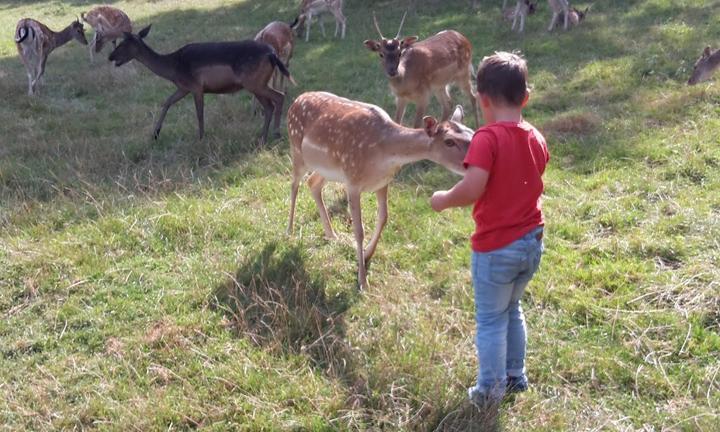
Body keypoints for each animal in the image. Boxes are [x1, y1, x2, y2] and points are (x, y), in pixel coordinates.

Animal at [108, 26, 294, 145]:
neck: (173, 69)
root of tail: (272, 54)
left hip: (254, 83)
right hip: (257, 83)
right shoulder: (184, 87)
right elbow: (167, 102)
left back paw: (274, 134)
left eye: (122, 44)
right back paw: (265, 136)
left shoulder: (196, 86)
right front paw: (155, 133)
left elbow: (199, 113)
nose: (110, 56)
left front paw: (201, 138)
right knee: (271, 104)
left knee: (277, 98)